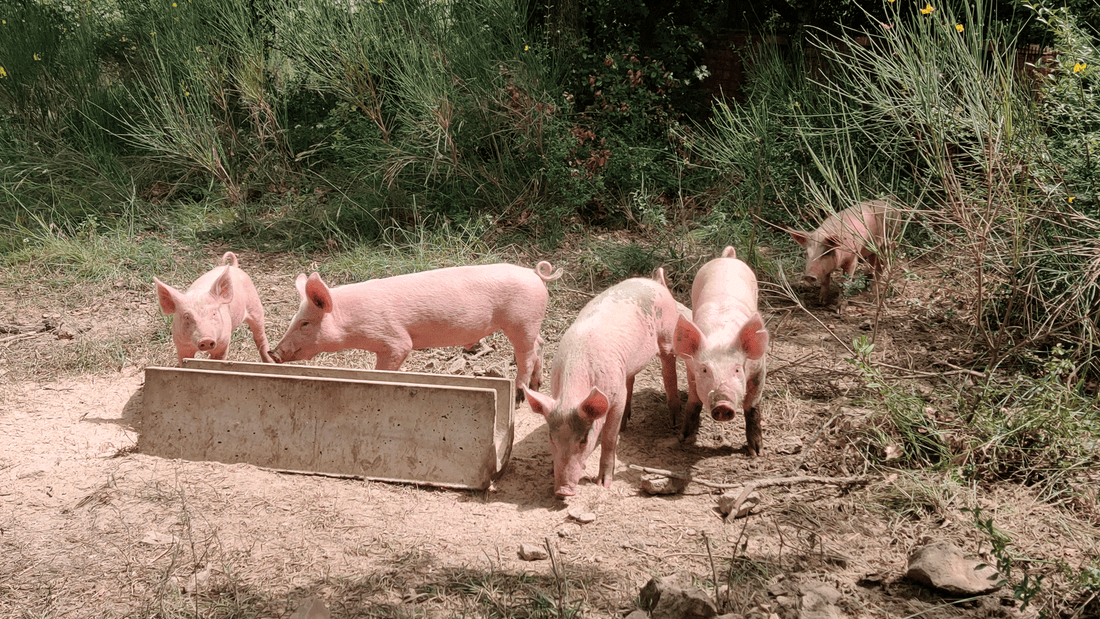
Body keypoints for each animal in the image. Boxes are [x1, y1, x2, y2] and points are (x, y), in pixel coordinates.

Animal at [269, 259, 563, 400]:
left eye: (305, 323)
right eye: (294, 319)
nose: (273, 353)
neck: (349, 318)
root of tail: (535, 274)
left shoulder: (395, 339)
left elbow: (389, 363)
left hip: (520, 321)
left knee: (526, 355)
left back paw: (520, 394)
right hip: (530, 323)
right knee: (539, 345)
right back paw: (536, 385)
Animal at [521, 272, 682, 499]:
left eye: (584, 440)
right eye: (551, 438)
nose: (563, 491)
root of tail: (656, 282)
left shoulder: (615, 398)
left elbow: (609, 438)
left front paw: (603, 484)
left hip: (668, 334)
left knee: (669, 370)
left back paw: (674, 422)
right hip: (626, 366)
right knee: (630, 381)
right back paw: (625, 423)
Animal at [673, 246, 770, 455]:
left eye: (737, 369)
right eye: (704, 370)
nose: (723, 404)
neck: (721, 337)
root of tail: (727, 259)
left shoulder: (760, 368)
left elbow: (752, 406)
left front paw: (757, 452)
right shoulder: (690, 368)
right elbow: (694, 402)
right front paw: (684, 439)